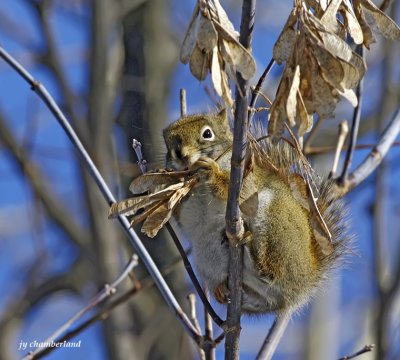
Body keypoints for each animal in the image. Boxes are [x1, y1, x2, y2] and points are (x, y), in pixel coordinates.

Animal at [162, 108, 346, 314]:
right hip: (208, 259)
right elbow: (179, 211)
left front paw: (211, 171)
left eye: (207, 133)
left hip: (274, 221)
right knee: (265, 299)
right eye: (168, 143)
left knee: (270, 272)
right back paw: (224, 290)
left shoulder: (248, 182)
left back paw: (248, 244)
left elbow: (240, 193)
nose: (180, 154)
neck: (198, 185)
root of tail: (301, 287)